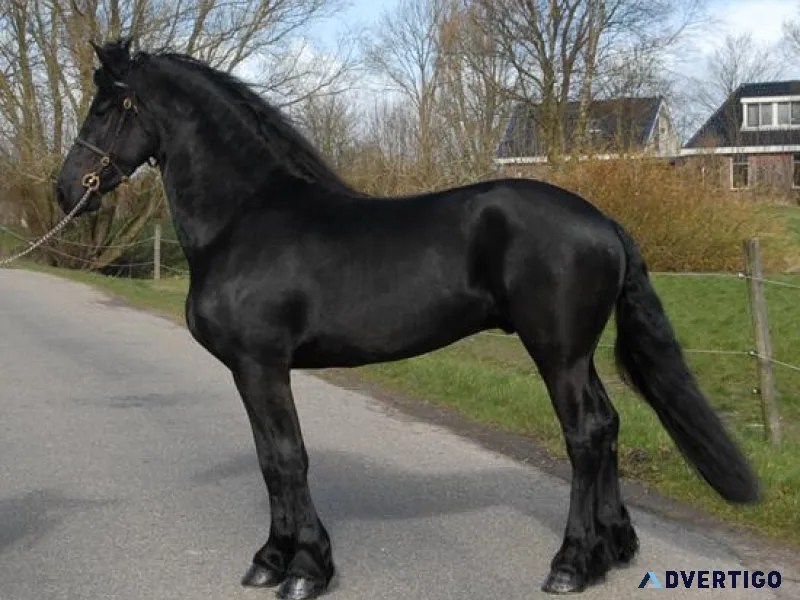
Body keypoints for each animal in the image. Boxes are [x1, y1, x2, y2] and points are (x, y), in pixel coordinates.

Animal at [54, 38, 760, 599]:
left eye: (105, 106)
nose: (65, 191)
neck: (245, 219)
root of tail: (603, 220)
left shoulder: (262, 365)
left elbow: (286, 458)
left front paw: (304, 570)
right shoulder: (250, 371)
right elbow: (266, 459)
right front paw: (271, 559)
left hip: (556, 352)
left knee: (585, 435)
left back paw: (569, 564)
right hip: (576, 354)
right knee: (608, 426)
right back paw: (611, 549)